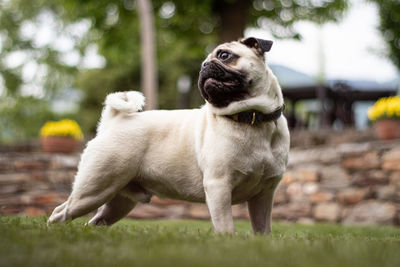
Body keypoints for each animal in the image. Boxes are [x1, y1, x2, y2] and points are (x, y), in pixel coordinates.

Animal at [48, 37, 290, 234]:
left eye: (224, 56)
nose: (204, 66)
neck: (252, 118)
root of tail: (113, 120)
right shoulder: (218, 187)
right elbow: (226, 227)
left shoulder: (264, 196)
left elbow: (263, 229)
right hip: (94, 189)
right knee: (60, 213)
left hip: (118, 201)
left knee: (95, 222)